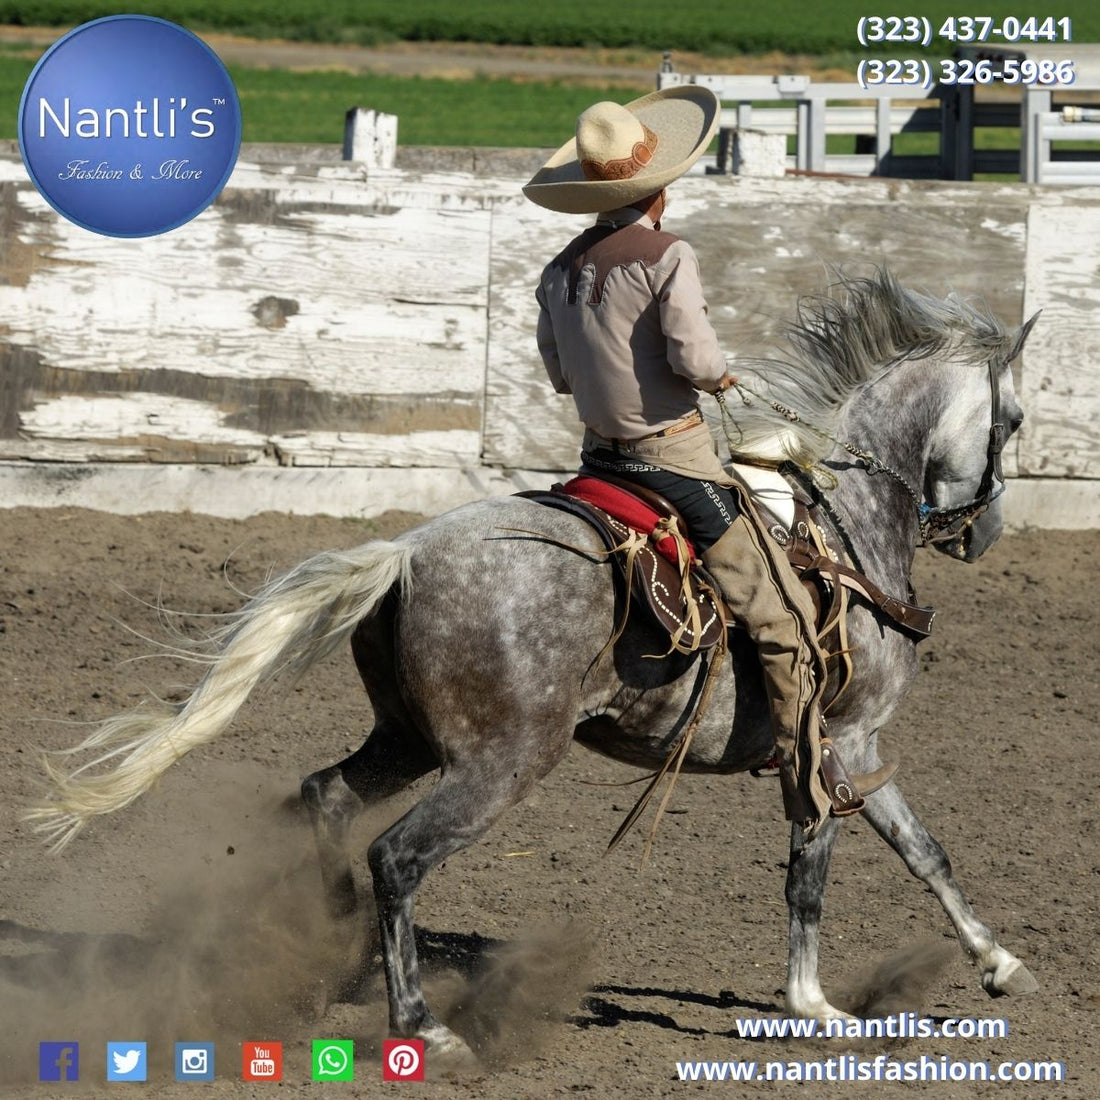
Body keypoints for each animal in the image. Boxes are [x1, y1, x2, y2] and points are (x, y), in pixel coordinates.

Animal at [29, 271, 1040, 1067]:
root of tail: (405, 554)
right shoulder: (834, 738)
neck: (842, 528)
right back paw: (422, 1024)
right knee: (397, 855)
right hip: (502, 761)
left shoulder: (858, 750)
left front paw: (1000, 963)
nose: (984, 534)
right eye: (1017, 418)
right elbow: (812, 871)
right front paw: (813, 1004)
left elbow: (926, 852)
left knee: (328, 797)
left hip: (410, 739)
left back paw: (337, 961)